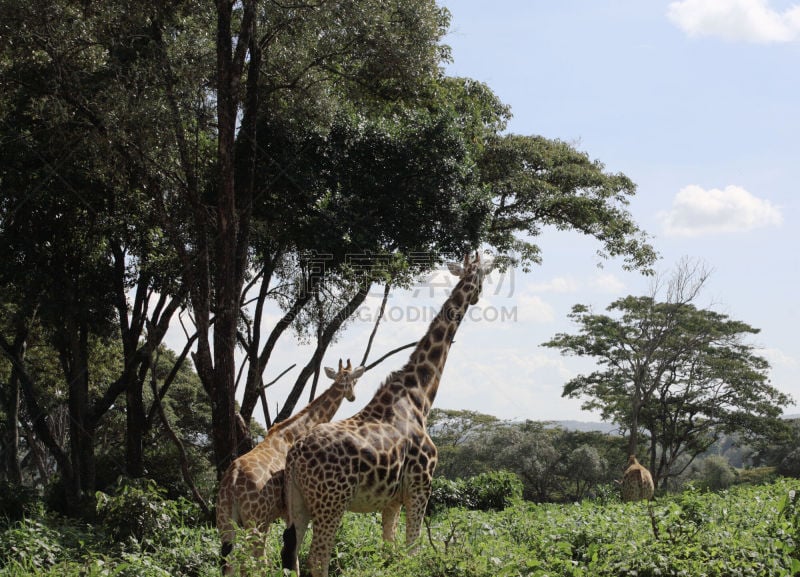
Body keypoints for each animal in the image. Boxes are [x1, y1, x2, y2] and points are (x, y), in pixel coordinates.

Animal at [212, 358, 362, 572]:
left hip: (224, 519)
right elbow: (293, 553)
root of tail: (231, 482)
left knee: (231, 563)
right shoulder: (289, 510)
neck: (292, 433)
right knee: (256, 561)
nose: (352, 397)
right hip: (256, 521)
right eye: (353, 380)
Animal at [282, 252, 494, 576]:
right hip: (332, 501)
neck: (420, 396)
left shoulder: (391, 500)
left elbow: (389, 550)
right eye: (483, 276)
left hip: (297, 502)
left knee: (291, 556)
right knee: (317, 559)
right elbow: (413, 549)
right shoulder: (421, 486)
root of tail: (295, 455)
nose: (477, 297)